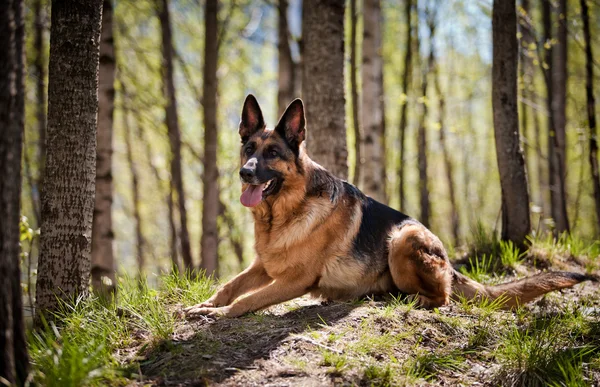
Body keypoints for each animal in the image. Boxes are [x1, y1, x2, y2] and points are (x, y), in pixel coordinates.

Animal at [184, 94, 596, 318]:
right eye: (248, 148)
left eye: (272, 153)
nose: (245, 173)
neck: (284, 212)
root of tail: (450, 262)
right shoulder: (262, 266)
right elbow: (229, 286)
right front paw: (205, 305)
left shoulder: (292, 280)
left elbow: (246, 300)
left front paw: (218, 314)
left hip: (403, 237)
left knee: (443, 299)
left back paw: (409, 298)